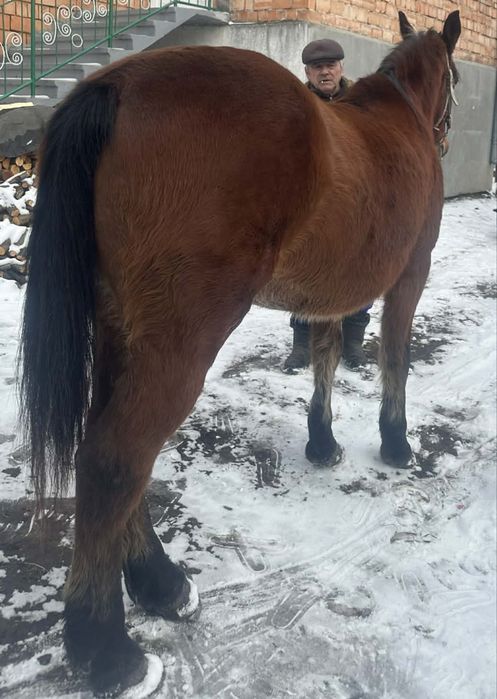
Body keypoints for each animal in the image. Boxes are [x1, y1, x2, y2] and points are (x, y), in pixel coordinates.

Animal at [19, 10, 461, 696]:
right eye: (457, 78)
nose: (445, 136)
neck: (397, 117)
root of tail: (117, 86)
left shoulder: (328, 293)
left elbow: (325, 358)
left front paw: (322, 441)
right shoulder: (410, 276)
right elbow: (394, 359)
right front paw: (395, 442)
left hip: (121, 328)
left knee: (111, 446)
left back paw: (161, 584)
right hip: (181, 339)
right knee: (115, 459)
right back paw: (106, 650)